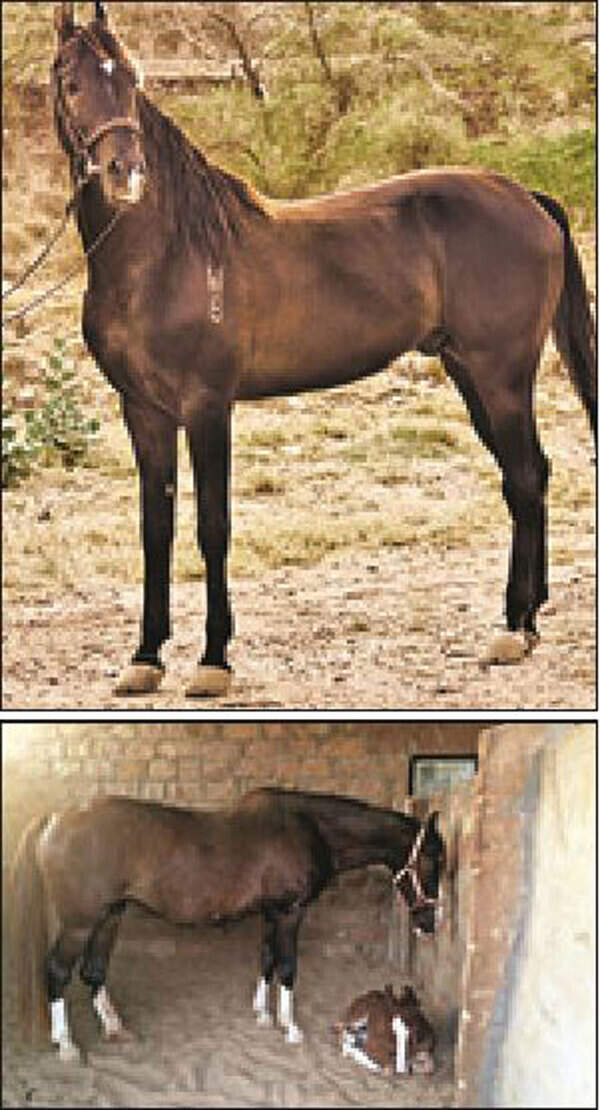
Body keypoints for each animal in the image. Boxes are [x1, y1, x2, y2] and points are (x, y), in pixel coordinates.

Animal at [10, 787, 445, 1060]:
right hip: (80, 923)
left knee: (94, 971)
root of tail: (56, 817)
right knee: (57, 972)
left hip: (109, 915)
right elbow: (288, 967)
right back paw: (66, 1045)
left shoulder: (272, 913)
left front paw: (262, 1014)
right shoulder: (291, 912)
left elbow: (267, 960)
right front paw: (291, 1028)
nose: (429, 923)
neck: (309, 827)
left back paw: (115, 1028)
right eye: (433, 859)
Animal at [50, 2, 596, 697]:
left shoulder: (207, 407)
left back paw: (512, 630)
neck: (166, 256)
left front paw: (213, 662)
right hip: (469, 374)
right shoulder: (143, 412)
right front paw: (145, 658)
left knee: (524, 478)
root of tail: (527, 197)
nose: (126, 174)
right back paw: (528, 620)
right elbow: (156, 530)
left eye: (130, 81)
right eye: (71, 83)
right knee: (531, 475)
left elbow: (212, 527)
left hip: (501, 376)